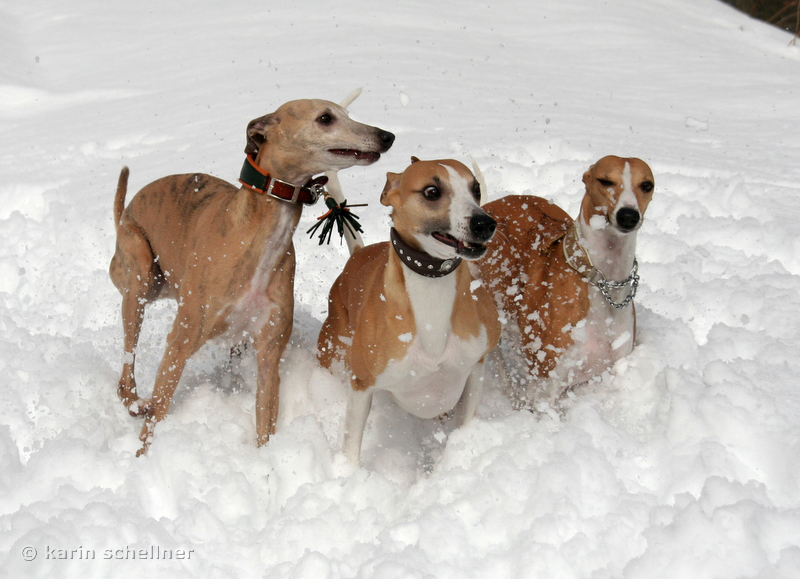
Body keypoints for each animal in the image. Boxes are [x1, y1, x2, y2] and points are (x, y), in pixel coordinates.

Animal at [109, 97, 394, 456]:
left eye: (346, 113)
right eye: (325, 118)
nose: (386, 136)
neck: (258, 237)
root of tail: (124, 213)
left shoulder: (269, 354)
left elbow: (265, 424)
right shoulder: (179, 343)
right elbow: (157, 416)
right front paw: (141, 458)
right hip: (141, 276)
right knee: (125, 374)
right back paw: (136, 402)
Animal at [318, 156, 500, 464]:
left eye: (475, 189)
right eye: (431, 192)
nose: (485, 223)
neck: (431, 284)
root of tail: (358, 254)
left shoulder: (475, 365)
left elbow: (464, 426)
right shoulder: (362, 384)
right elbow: (352, 444)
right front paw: (347, 472)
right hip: (332, 352)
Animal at [478, 154, 652, 408]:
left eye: (647, 185)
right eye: (605, 181)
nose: (628, 216)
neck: (601, 280)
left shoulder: (605, 374)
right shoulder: (546, 388)